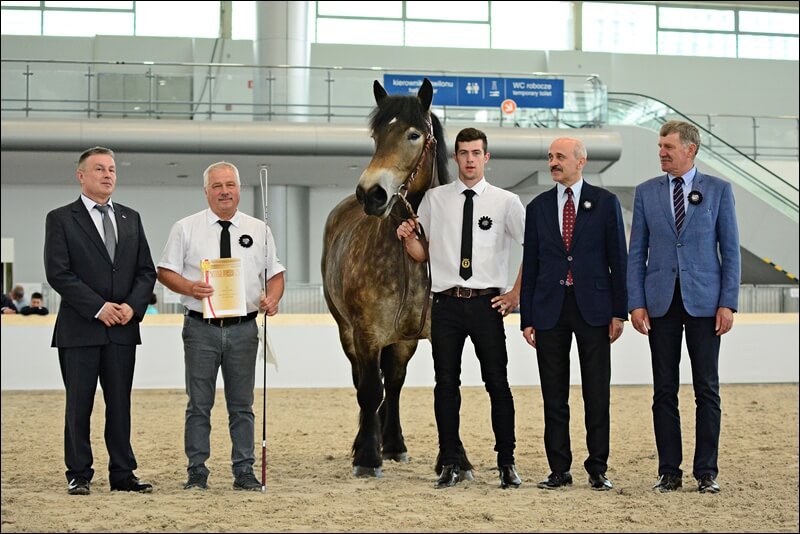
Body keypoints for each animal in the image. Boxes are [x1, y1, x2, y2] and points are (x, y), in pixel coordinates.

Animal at [322, 78, 454, 478]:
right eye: (376, 135)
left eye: (414, 134)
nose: (371, 193)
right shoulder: (365, 333)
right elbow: (368, 391)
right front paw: (367, 457)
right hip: (347, 331)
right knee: (365, 383)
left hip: (404, 340)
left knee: (394, 382)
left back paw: (393, 443)